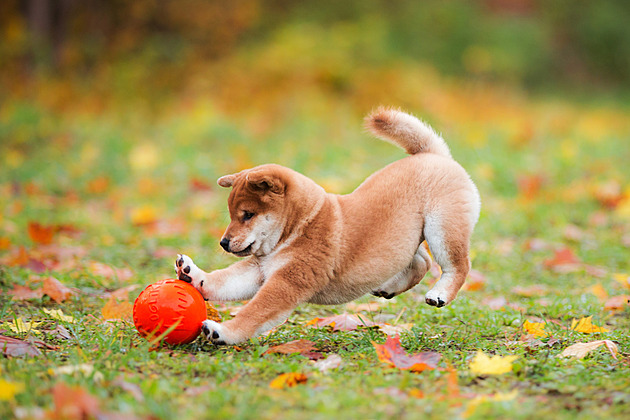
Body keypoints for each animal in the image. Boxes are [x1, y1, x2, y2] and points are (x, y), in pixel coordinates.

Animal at [175, 107, 482, 344]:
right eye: (231, 215)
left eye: (247, 215)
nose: (224, 243)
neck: (300, 226)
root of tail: (433, 155)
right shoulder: (260, 271)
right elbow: (223, 281)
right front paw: (193, 274)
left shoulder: (287, 281)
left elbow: (254, 313)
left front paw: (223, 331)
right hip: (404, 240)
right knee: (421, 262)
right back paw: (389, 287)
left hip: (442, 229)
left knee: (457, 265)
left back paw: (439, 294)